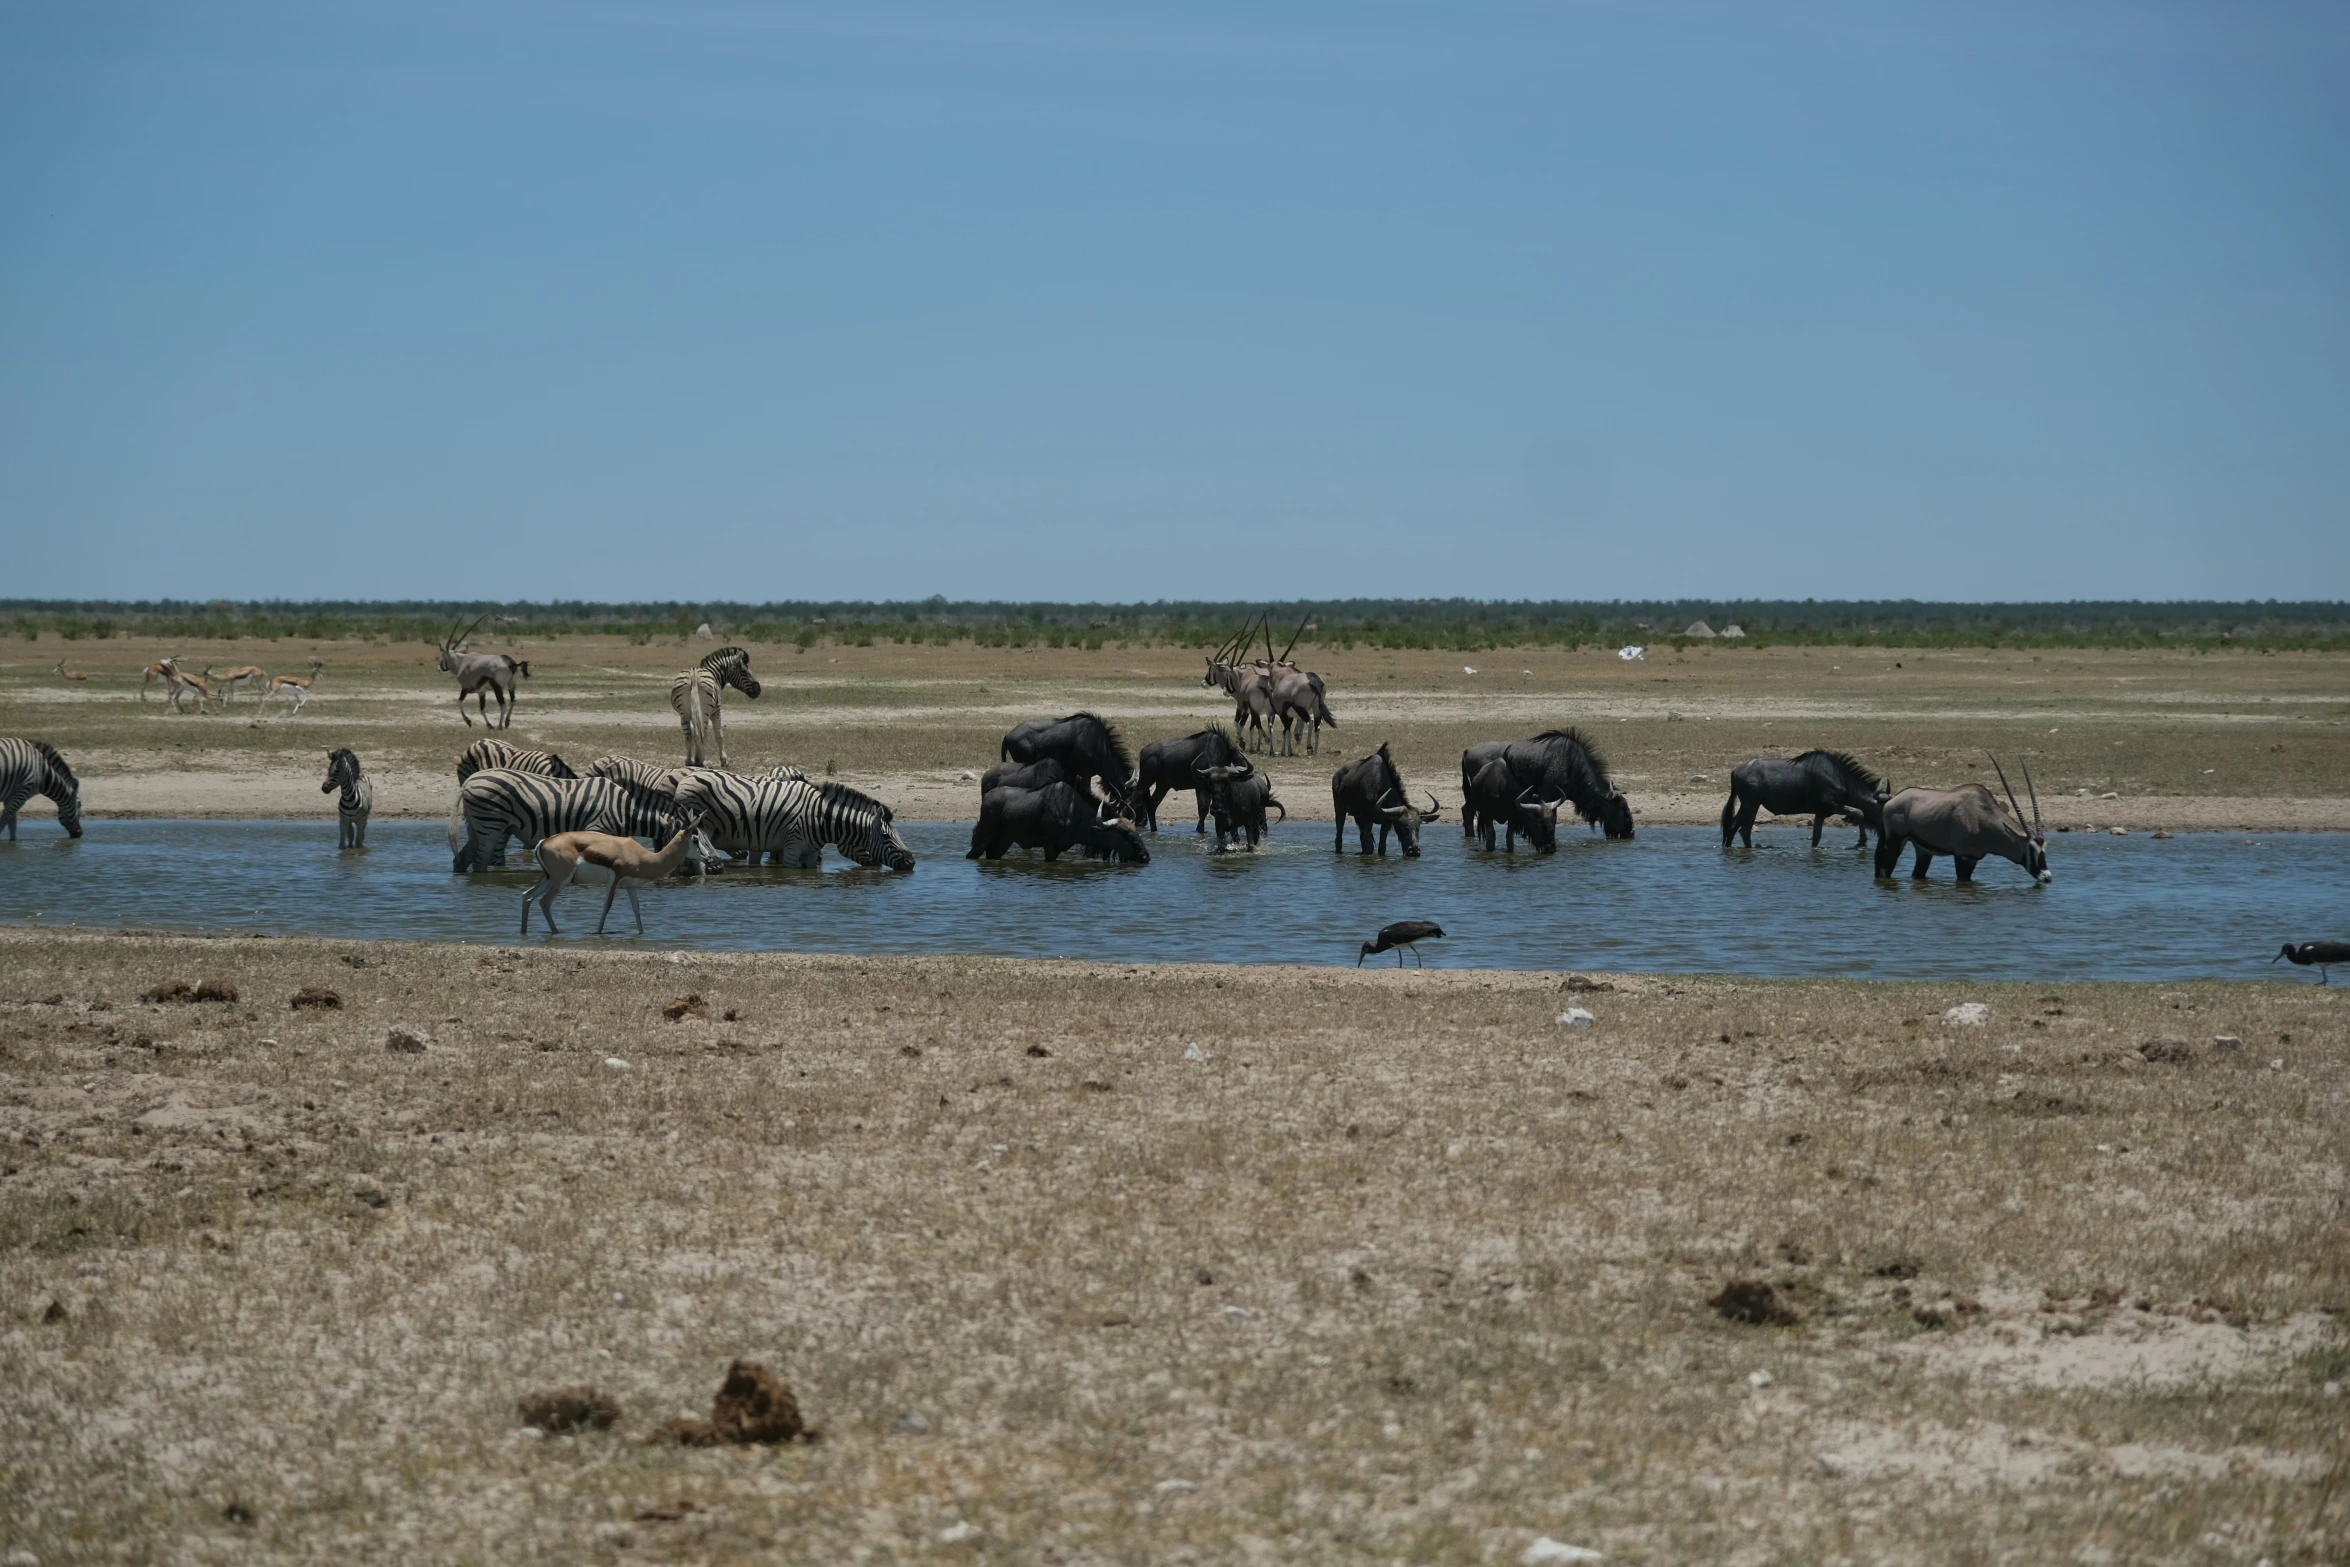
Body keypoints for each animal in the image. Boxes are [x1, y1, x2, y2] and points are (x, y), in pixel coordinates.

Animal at [441, 775, 690, 883]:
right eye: (692, 839)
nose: (690, 874)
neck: (625, 808)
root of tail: (468, 781)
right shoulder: (597, 828)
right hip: (491, 824)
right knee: (479, 862)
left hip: (478, 825)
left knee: (461, 859)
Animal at [528, 817, 709, 939]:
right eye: (695, 839)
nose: (708, 857)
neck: (643, 857)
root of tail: (543, 842)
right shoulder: (615, 879)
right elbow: (606, 906)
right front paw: (598, 932)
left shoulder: (631, 886)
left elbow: (637, 910)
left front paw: (641, 934)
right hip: (561, 881)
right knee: (544, 902)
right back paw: (556, 932)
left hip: (550, 879)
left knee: (527, 896)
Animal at [676, 770, 911, 869]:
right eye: (885, 837)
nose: (912, 863)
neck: (820, 817)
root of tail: (685, 779)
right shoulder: (792, 846)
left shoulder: (810, 851)